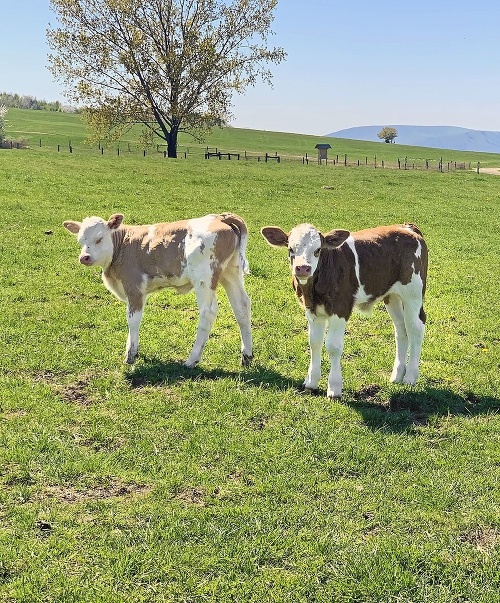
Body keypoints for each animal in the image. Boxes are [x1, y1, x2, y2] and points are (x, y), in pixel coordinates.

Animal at [65, 212, 254, 368]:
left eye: (99, 238)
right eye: (80, 241)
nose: (84, 257)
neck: (123, 245)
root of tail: (219, 217)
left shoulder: (134, 288)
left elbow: (133, 320)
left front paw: (130, 355)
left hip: (204, 277)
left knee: (208, 312)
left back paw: (191, 360)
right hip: (231, 272)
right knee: (241, 306)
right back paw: (247, 355)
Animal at [260, 221, 428, 396]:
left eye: (317, 250)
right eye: (290, 249)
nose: (302, 268)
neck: (313, 291)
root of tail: (407, 226)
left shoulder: (340, 308)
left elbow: (333, 346)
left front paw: (334, 388)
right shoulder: (311, 310)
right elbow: (314, 343)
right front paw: (311, 382)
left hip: (413, 293)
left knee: (416, 328)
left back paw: (410, 377)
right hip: (392, 296)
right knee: (401, 329)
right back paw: (397, 375)